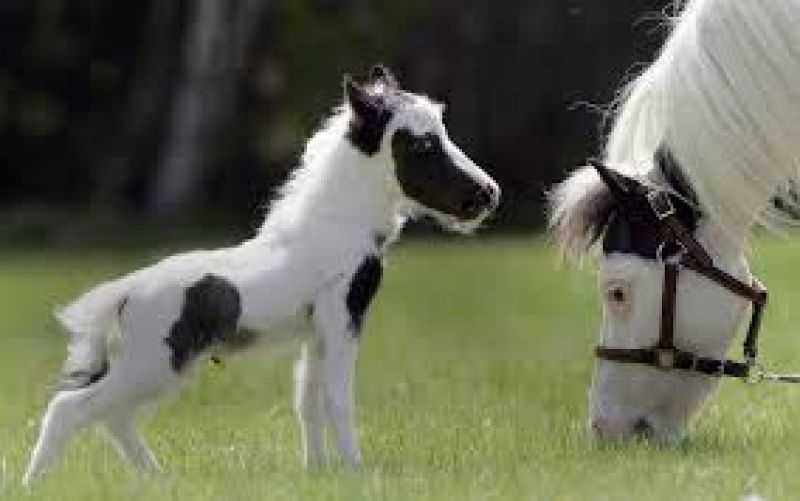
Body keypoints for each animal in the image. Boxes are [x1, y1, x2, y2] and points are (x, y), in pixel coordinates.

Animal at [23, 65, 500, 484]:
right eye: (421, 145)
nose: (488, 194)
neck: (336, 223)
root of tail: (124, 293)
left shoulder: (315, 332)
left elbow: (307, 400)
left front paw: (318, 473)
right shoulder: (342, 317)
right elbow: (337, 398)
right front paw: (356, 472)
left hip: (148, 368)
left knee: (112, 416)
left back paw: (157, 478)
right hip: (154, 364)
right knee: (70, 408)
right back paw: (35, 484)